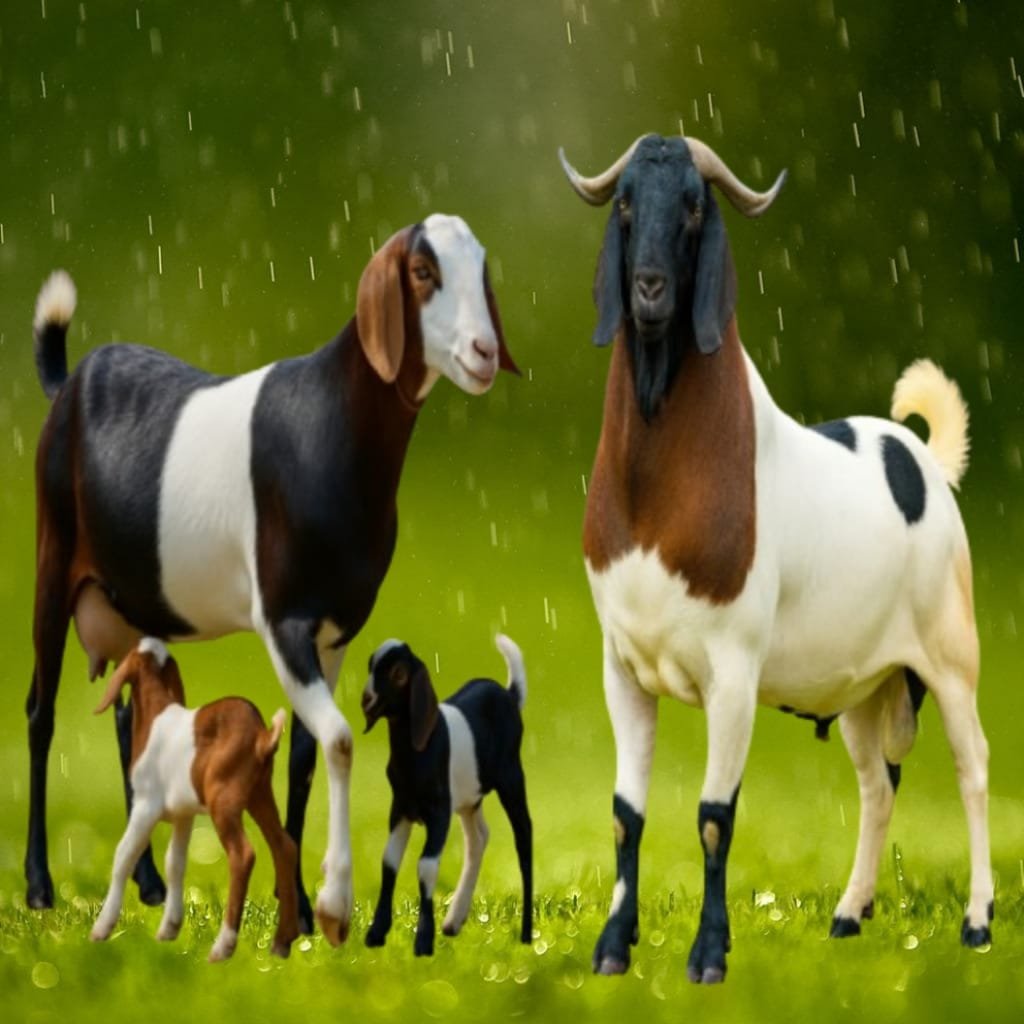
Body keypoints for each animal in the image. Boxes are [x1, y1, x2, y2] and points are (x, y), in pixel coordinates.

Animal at [89, 638, 298, 962]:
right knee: (284, 847)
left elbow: (124, 854)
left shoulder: (145, 806)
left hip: (223, 800)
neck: (156, 716)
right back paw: (281, 943)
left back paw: (223, 947)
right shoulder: (183, 814)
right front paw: (168, 930)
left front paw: (101, 928)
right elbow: (175, 862)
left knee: (243, 854)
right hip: (261, 794)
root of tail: (262, 737)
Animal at [360, 634, 532, 956]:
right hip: (468, 799)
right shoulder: (400, 808)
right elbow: (389, 861)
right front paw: (376, 933)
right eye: (371, 666)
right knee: (479, 837)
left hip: (511, 778)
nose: (367, 700)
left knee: (524, 837)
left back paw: (527, 934)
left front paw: (423, 941)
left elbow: (426, 865)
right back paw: (454, 920)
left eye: (399, 674)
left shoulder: (439, 812)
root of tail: (509, 694)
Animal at [559, 133, 991, 983]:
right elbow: (627, 817)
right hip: (863, 689)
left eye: (694, 207)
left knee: (974, 769)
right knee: (877, 784)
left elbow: (714, 816)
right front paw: (613, 949)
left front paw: (709, 956)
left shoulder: (734, 674)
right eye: (625, 202)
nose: (650, 290)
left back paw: (979, 923)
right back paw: (849, 916)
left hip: (951, 659)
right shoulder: (621, 668)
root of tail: (924, 458)